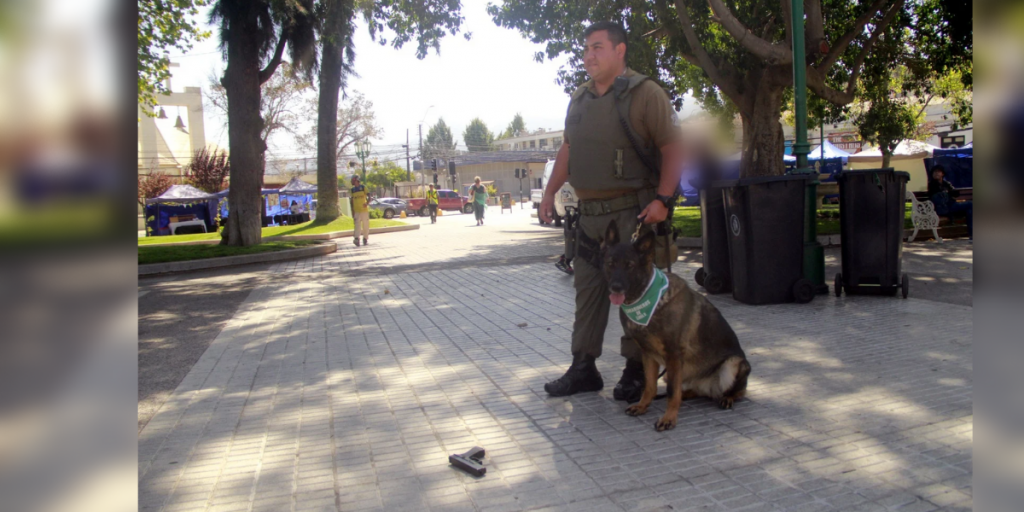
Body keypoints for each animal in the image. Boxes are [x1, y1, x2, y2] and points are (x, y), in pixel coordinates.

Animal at [598, 220, 753, 432]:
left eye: (630, 266)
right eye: (610, 264)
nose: (616, 288)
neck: (647, 300)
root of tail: (709, 387)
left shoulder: (673, 356)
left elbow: (671, 392)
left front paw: (669, 418)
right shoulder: (648, 355)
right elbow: (650, 386)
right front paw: (643, 405)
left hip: (733, 364)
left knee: (738, 391)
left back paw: (727, 397)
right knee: (691, 391)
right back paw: (686, 396)